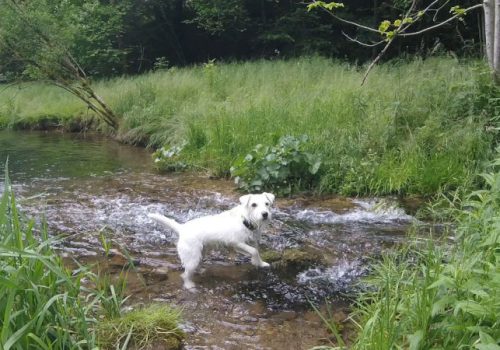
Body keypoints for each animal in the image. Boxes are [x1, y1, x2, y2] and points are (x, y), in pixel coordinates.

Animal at [146, 193, 276, 288]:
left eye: (267, 204)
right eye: (254, 205)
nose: (265, 214)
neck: (246, 220)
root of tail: (182, 228)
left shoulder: (248, 243)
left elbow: (255, 251)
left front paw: (260, 263)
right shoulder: (236, 243)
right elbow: (254, 251)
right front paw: (257, 262)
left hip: (201, 253)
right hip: (192, 257)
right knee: (185, 274)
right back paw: (189, 286)